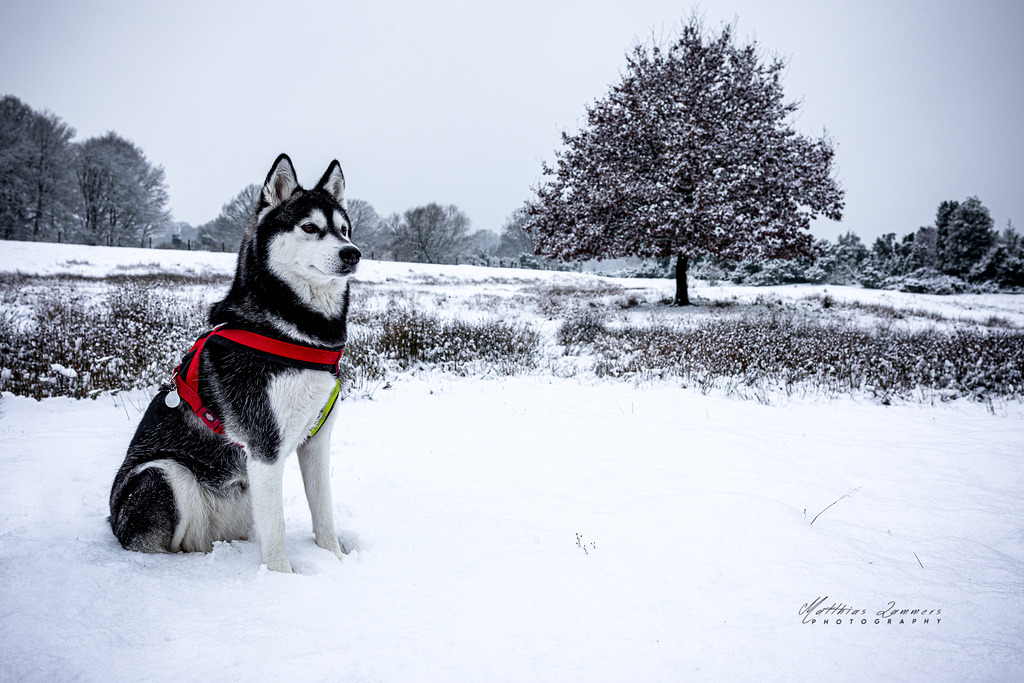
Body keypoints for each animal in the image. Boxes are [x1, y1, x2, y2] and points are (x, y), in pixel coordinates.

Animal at [108, 153, 360, 573]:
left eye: (343, 229)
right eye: (310, 227)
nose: (352, 253)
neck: (296, 334)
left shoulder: (316, 441)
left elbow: (324, 514)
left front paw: (337, 561)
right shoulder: (264, 447)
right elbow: (276, 533)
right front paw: (282, 579)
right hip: (162, 473)